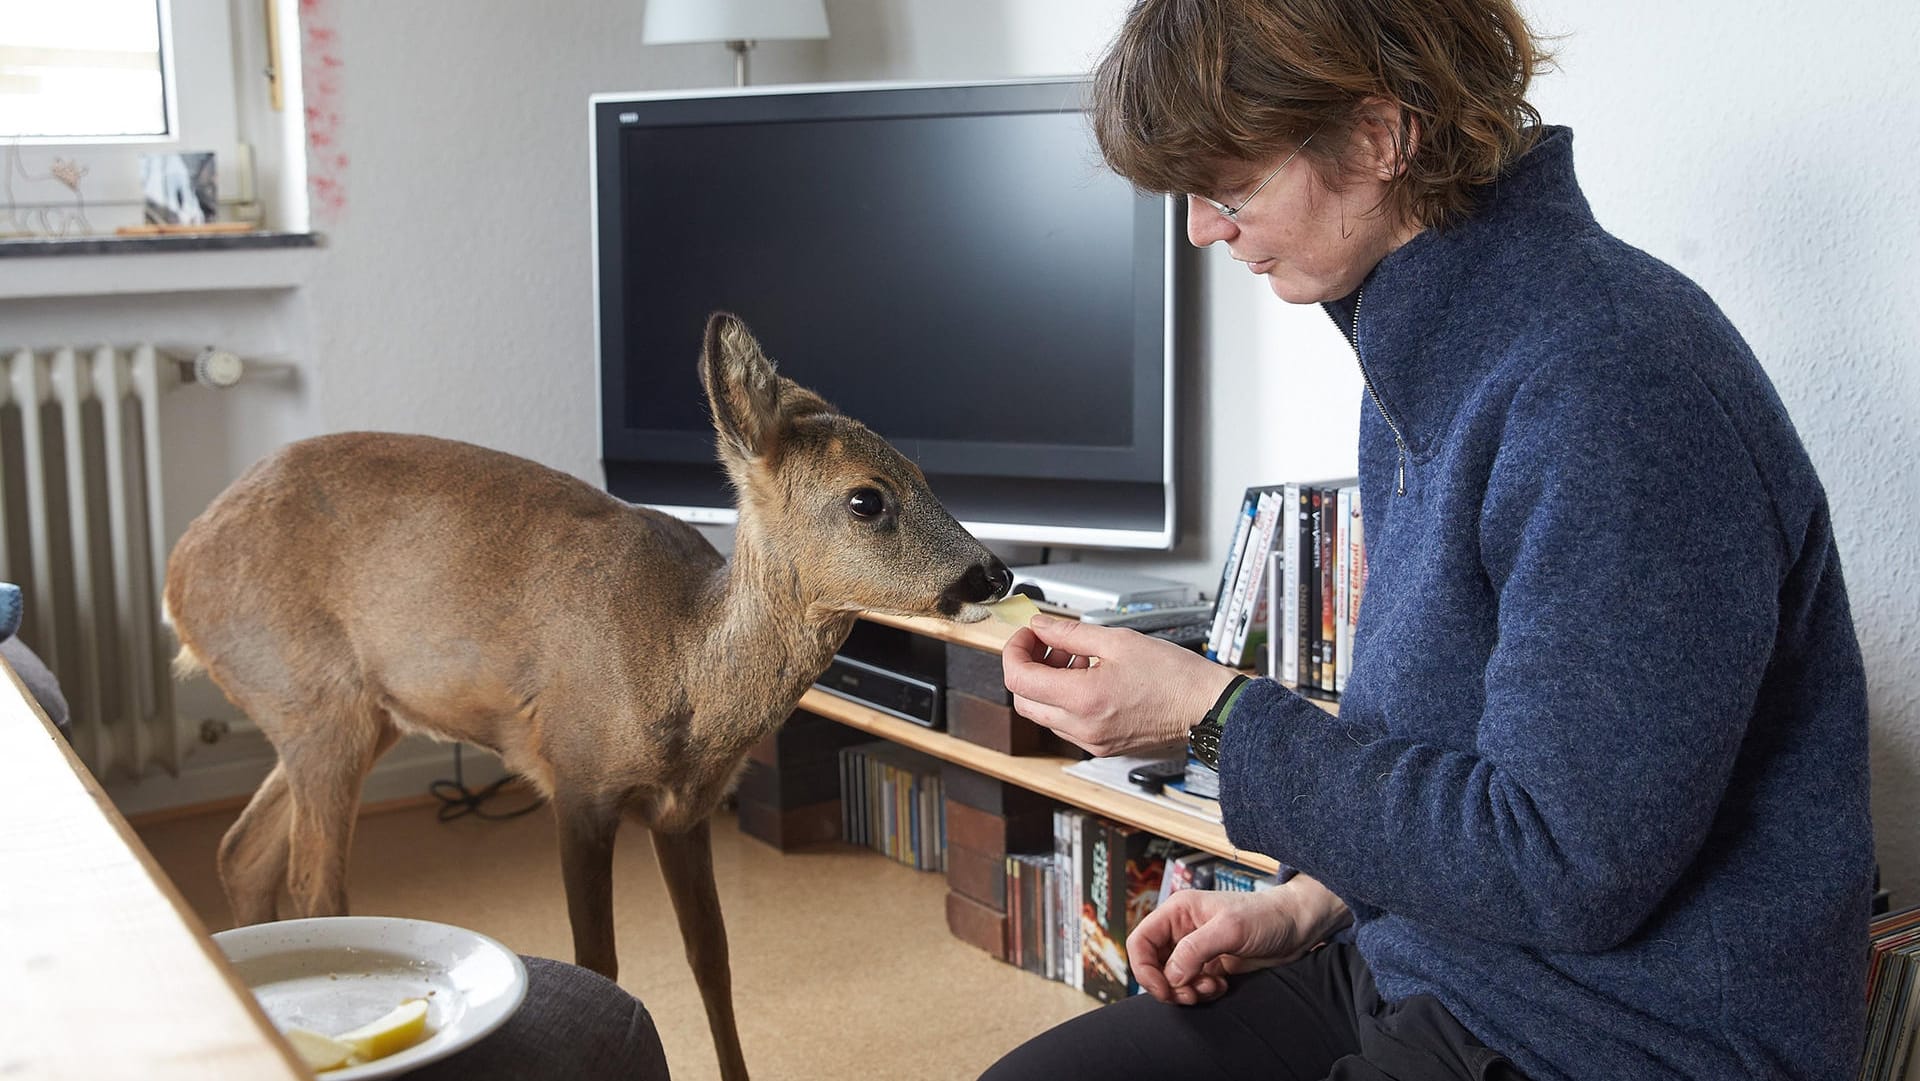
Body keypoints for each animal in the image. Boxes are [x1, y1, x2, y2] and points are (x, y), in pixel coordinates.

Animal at [161, 311, 1021, 1081]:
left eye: (923, 473)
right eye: (867, 498)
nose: (996, 572)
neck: (681, 668)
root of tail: (177, 573)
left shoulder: (685, 811)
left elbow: (713, 957)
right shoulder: (576, 780)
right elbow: (599, 960)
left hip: (355, 711)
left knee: (242, 850)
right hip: (312, 693)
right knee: (313, 880)